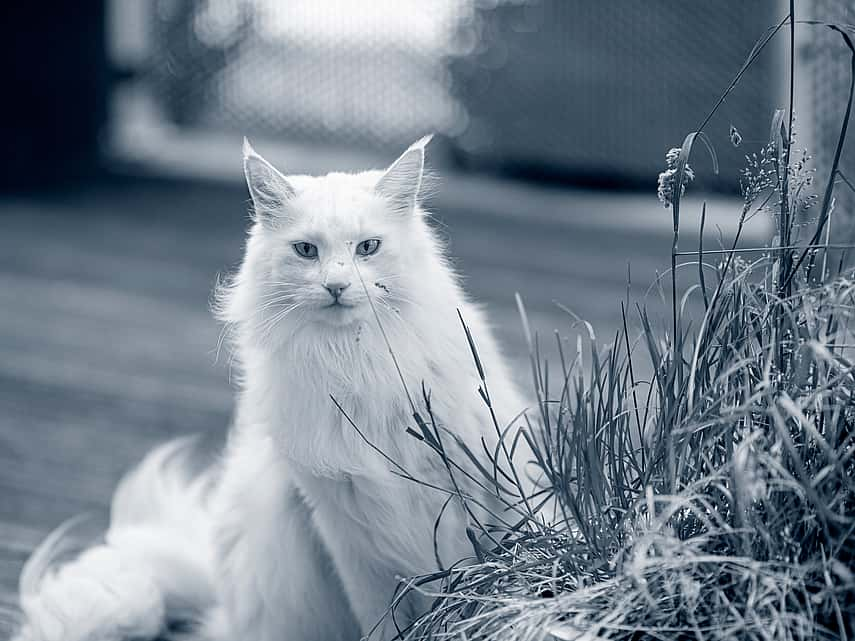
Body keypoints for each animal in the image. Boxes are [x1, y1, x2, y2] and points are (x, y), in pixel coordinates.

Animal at [13, 136, 532, 640]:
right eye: (306, 251)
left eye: (367, 247)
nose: (336, 286)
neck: (354, 362)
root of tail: (220, 610)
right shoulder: (349, 530)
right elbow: (382, 621)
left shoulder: (472, 489)